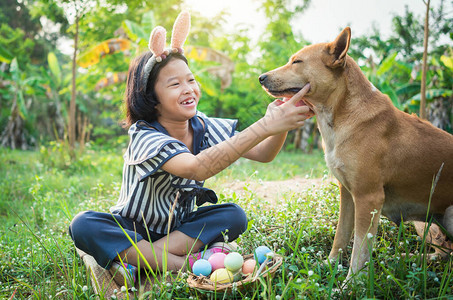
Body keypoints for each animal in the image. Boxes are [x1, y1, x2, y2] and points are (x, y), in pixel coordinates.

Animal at [258, 27, 452, 278]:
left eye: (297, 61)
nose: (261, 78)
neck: (338, 116)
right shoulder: (348, 193)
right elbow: (341, 236)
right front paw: (329, 264)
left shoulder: (368, 198)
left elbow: (359, 251)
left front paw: (350, 283)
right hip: (424, 223)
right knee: (443, 250)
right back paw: (406, 259)